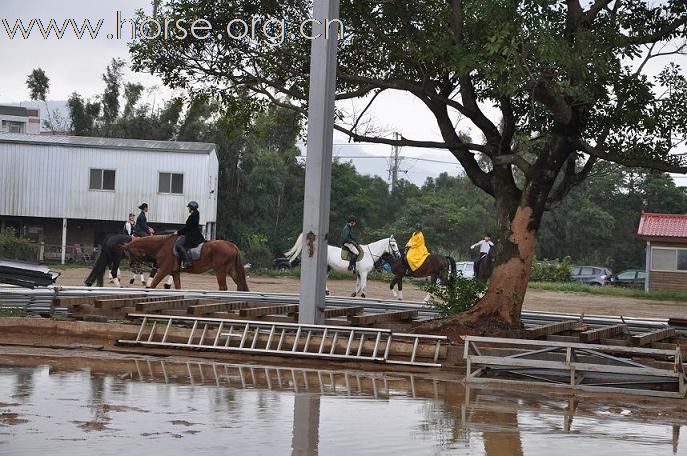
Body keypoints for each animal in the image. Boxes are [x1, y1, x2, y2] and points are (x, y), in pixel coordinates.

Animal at [121, 235, 250, 292]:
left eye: (127, 253)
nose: (132, 266)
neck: (162, 246)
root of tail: (231, 245)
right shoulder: (174, 272)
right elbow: (178, 287)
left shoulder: (163, 270)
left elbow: (153, 285)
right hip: (232, 271)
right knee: (240, 286)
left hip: (221, 272)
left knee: (223, 288)